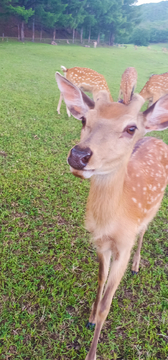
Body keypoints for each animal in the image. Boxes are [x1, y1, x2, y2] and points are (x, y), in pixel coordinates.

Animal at [55, 71, 168, 360]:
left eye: (130, 128)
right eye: (84, 119)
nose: (79, 155)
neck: (111, 222)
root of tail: (157, 137)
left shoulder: (123, 247)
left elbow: (108, 302)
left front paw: (92, 353)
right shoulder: (99, 243)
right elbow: (99, 281)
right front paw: (90, 318)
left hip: (155, 206)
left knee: (144, 230)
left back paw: (138, 265)